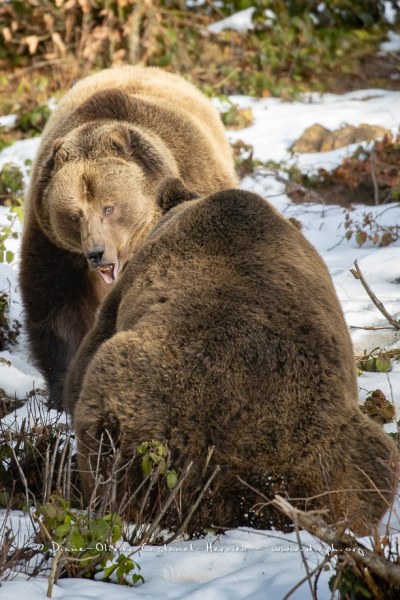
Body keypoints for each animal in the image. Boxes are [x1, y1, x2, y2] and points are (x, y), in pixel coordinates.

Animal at [19, 67, 238, 412]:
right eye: (74, 214)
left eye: (109, 207)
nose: (96, 253)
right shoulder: (55, 247)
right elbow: (57, 310)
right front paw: (62, 395)